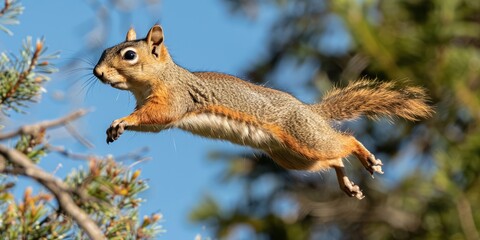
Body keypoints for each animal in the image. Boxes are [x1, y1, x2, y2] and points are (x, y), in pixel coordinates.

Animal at [92, 25, 434, 200]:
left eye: (129, 55)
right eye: (104, 51)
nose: (97, 72)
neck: (159, 78)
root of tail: (312, 113)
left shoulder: (175, 100)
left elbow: (157, 117)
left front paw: (121, 121)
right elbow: (151, 123)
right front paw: (117, 127)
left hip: (305, 139)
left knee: (345, 142)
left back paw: (366, 157)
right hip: (296, 158)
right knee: (335, 159)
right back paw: (347, 184)